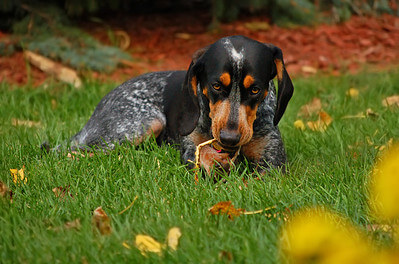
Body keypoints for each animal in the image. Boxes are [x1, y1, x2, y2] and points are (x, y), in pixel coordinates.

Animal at [54, 35, 294, 175]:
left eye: (255, 90)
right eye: (216, 85)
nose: (229, 138)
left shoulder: (272, 162)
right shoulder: (190, 150)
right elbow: (203, 159)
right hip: (143, 124)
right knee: (73, 152)